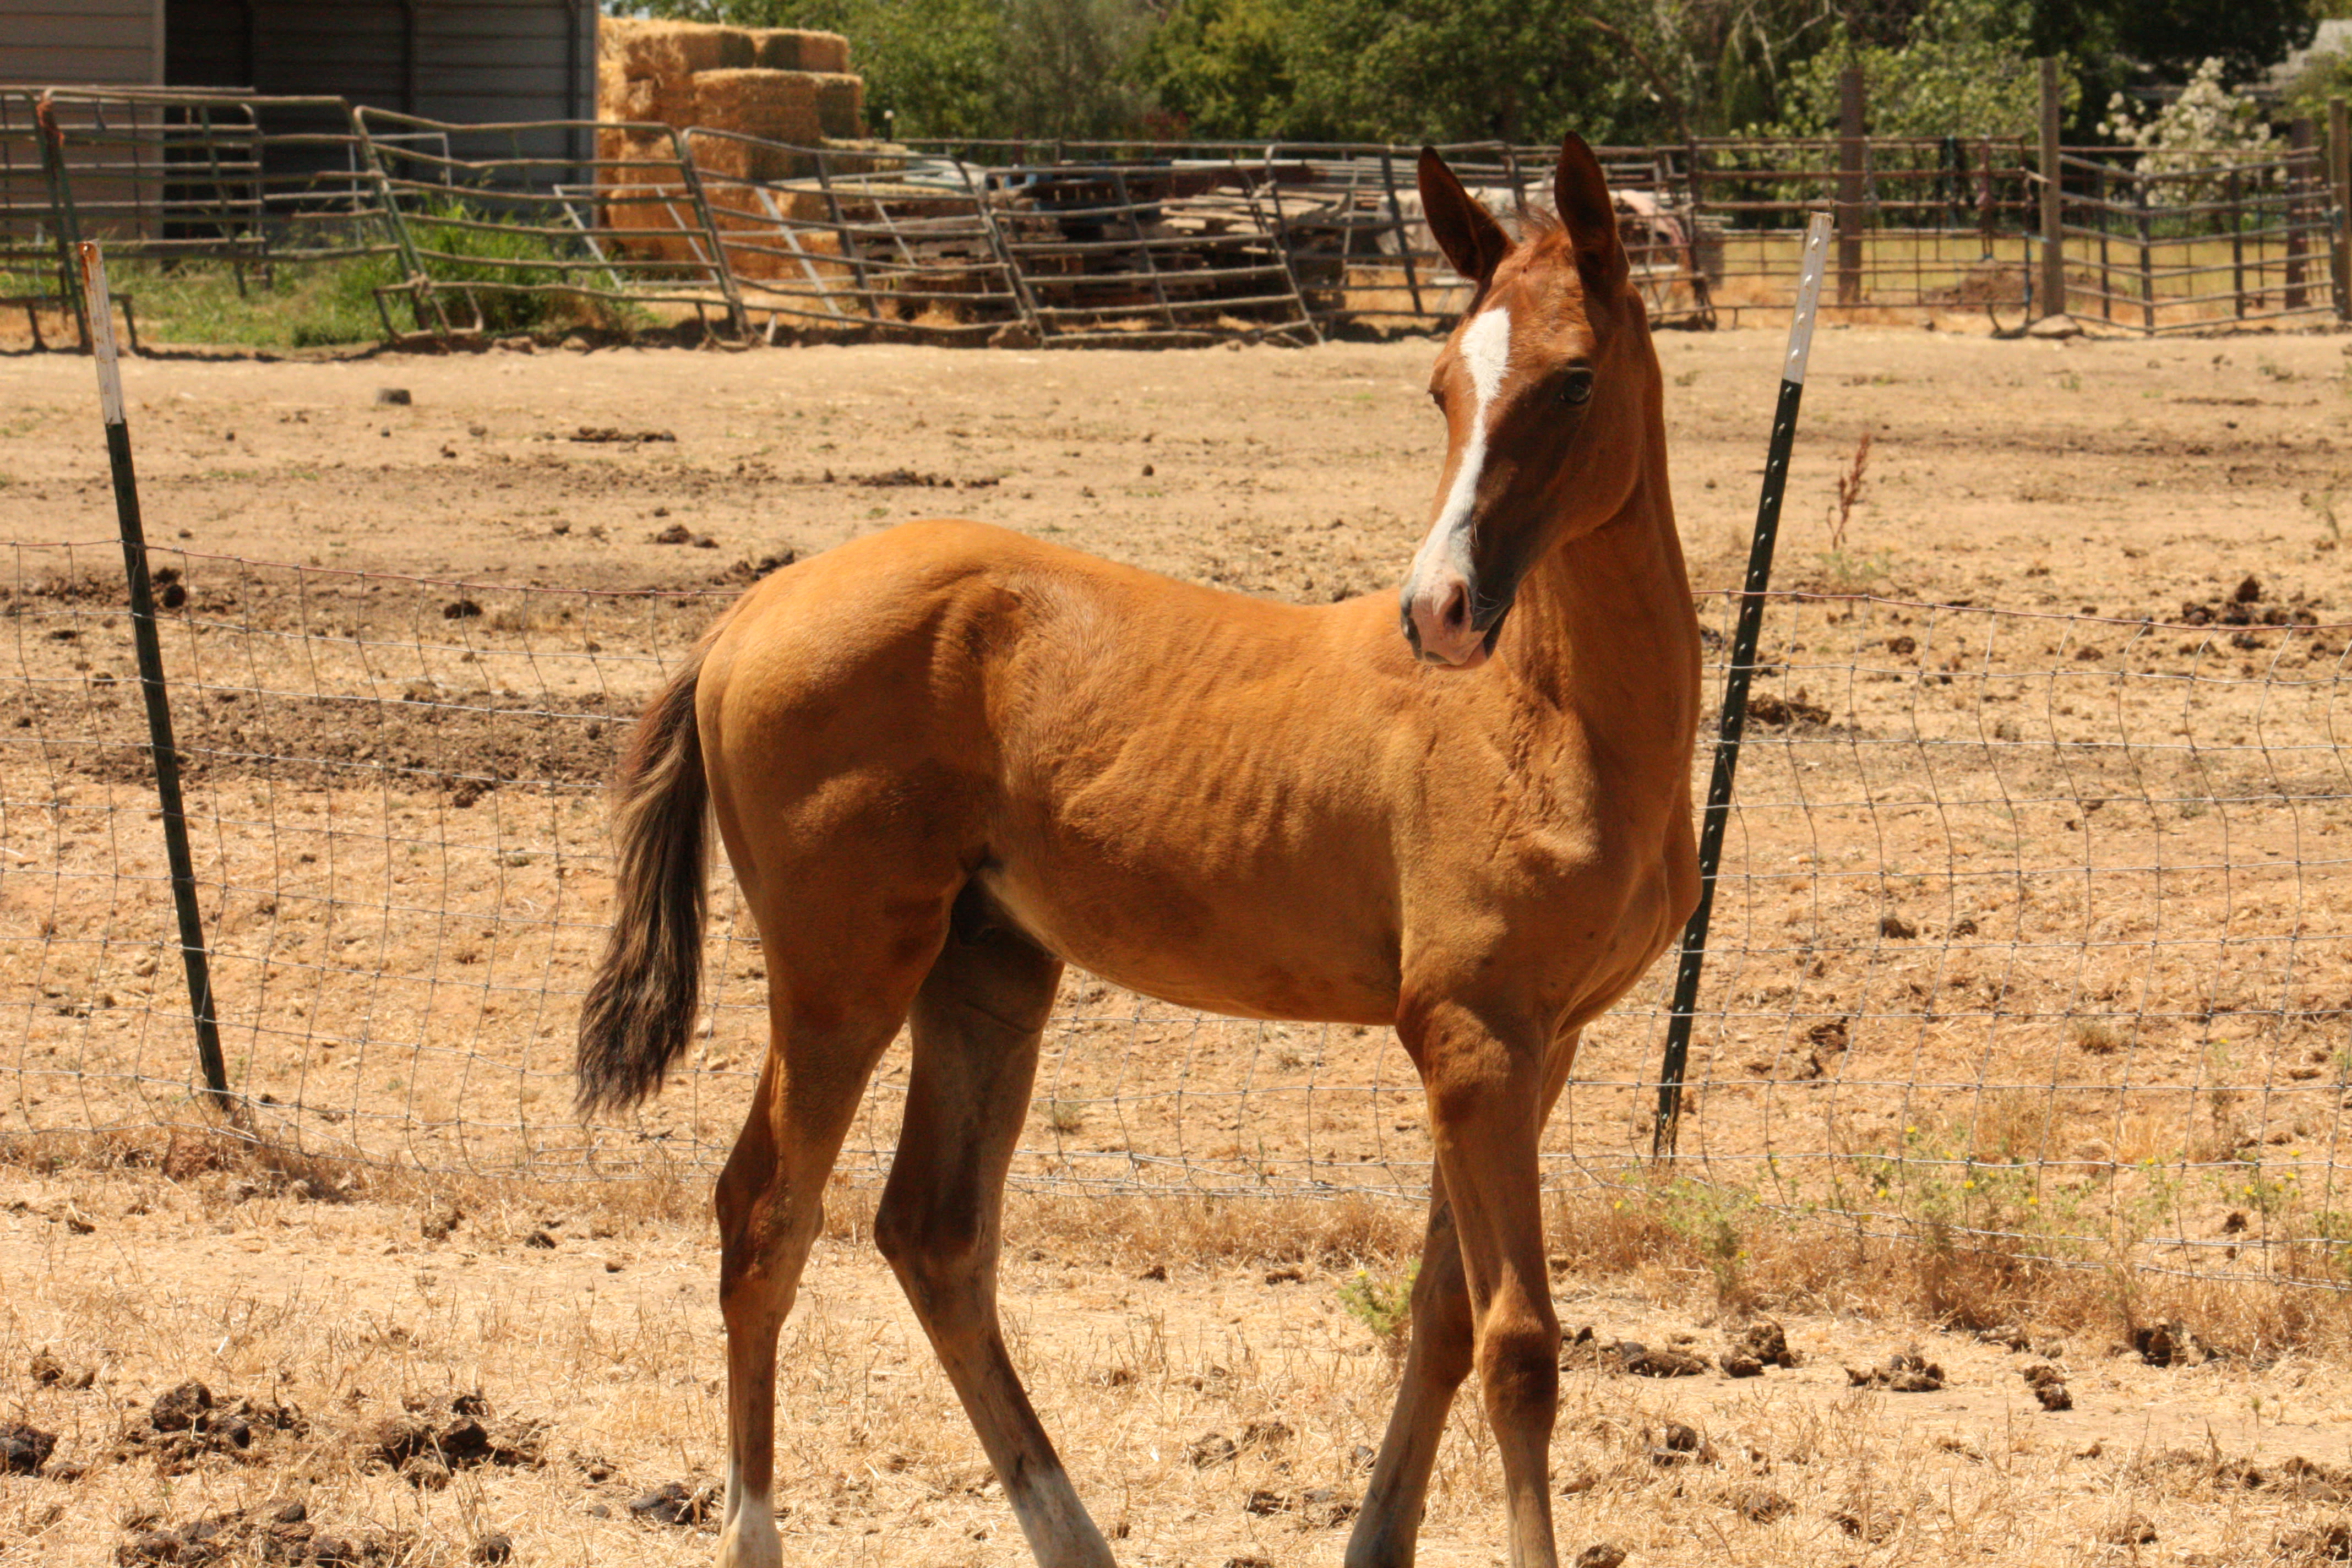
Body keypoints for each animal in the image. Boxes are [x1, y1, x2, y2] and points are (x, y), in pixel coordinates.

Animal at [576, 133, 1700, 1568]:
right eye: (1443, 382)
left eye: (1573, 378)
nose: (1439, 609)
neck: (1549, 715)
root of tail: (747, 611)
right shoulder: (1471, 1034)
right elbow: (1519, 1344)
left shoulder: (1532, 1043)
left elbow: (1444, 1314)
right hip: (842, 972)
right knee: (765, 1215)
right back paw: (757, 1532)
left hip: (986, 971)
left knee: (933, 1233)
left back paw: (1075, 1537)